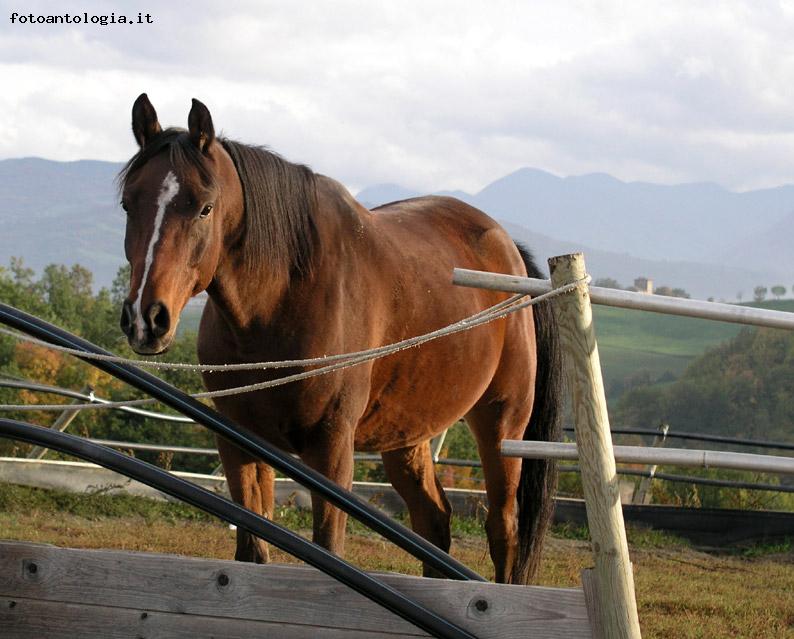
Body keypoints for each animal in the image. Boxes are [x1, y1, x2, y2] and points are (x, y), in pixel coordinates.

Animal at [119, 94, 564, 584]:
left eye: (204, 207)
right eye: (127, 204)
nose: (146, 317)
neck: (281, 298)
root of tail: (509, 251)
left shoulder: (331, 448)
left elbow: (328, 549)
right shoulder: (239, 442)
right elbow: (252, 552)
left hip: (503, 423)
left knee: (503, 531)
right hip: (408, 436)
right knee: (434, 521)